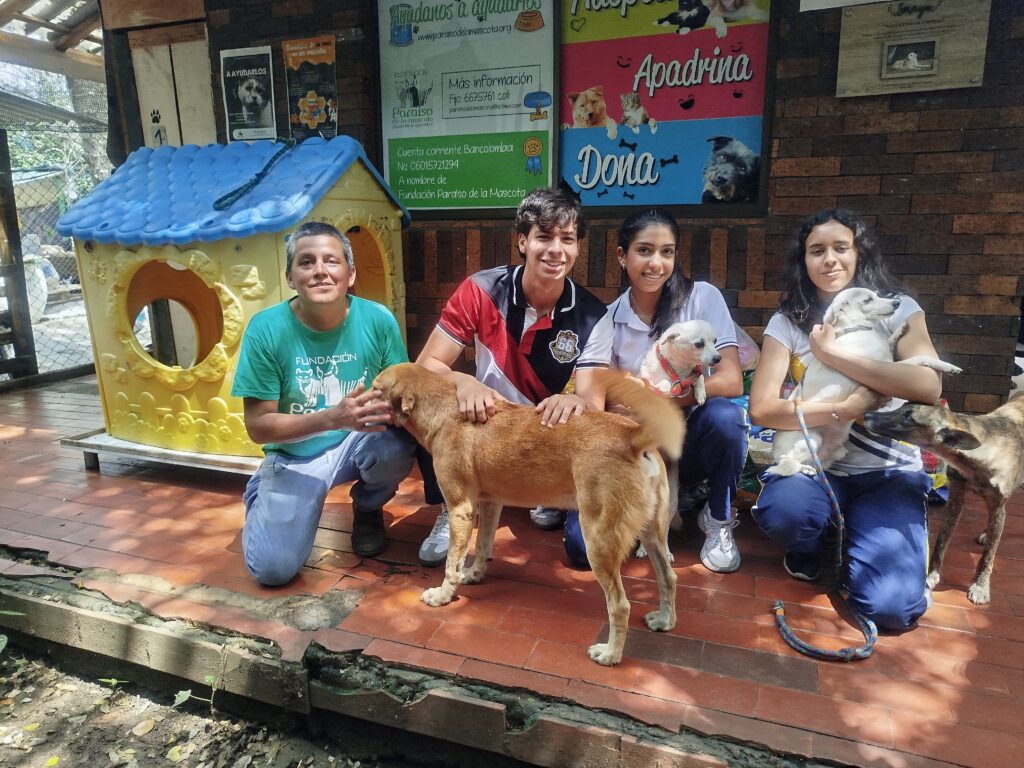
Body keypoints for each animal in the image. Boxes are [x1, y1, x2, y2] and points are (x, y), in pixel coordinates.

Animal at [372, 364, 684, 663]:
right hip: (652, 535)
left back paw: (610, 655)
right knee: (668, 578)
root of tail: (631, 436)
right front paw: (474, 574)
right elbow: (483, 546)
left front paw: (443, 595)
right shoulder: (489, 504)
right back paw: (664, 620)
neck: (445, 411)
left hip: (598, 541)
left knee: (620, 605)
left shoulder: (460, 509)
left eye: (376, 388)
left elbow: (451, 564)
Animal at [770, 288, 962, 479]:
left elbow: (891, 341)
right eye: (868, 300)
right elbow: (920, 358)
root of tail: (773, 452)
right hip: (811, 440)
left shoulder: (885, 360)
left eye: (877, 294)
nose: (897, 302)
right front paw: (948, 366)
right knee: (785, 463)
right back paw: (803, 469)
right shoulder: (883, 366)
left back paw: (835, 472)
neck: (855, 329)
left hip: (837, 452)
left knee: (820, 465)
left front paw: (901, 328)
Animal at [864, 397, 1024, 606]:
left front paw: (980, 587)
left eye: (909, 418)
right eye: (903, 406)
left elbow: (989, 554)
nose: (867, 414)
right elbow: (941, 542)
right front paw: (931, 576)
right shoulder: (955, 500)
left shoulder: (997, 506)